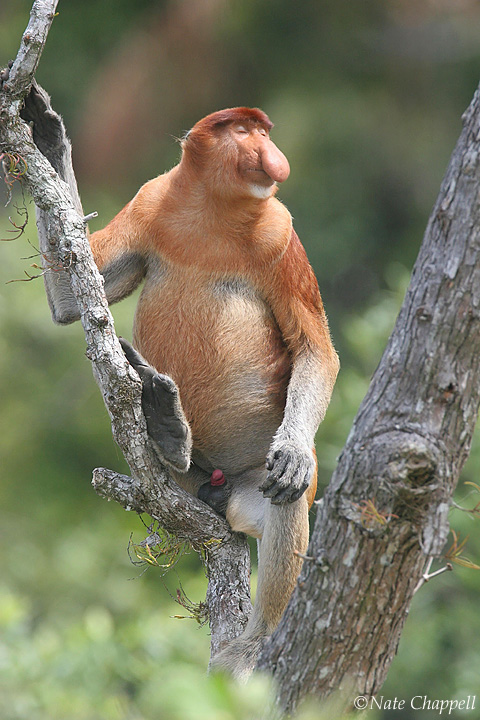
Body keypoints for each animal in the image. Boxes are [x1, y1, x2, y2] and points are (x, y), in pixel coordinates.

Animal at [36, 105, 339, 680]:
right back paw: (167, 430)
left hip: (251, 489)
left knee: (286, 501)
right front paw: (45, 137)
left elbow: (315, 349)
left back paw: (252, 645)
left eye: (263, 131)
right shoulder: (150, 199)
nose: (271, 154)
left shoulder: (281, 234)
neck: (215, 211)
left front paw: (292, 452)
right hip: (181, 486)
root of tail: (216, 487)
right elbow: (68, 305)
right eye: (243, 131)